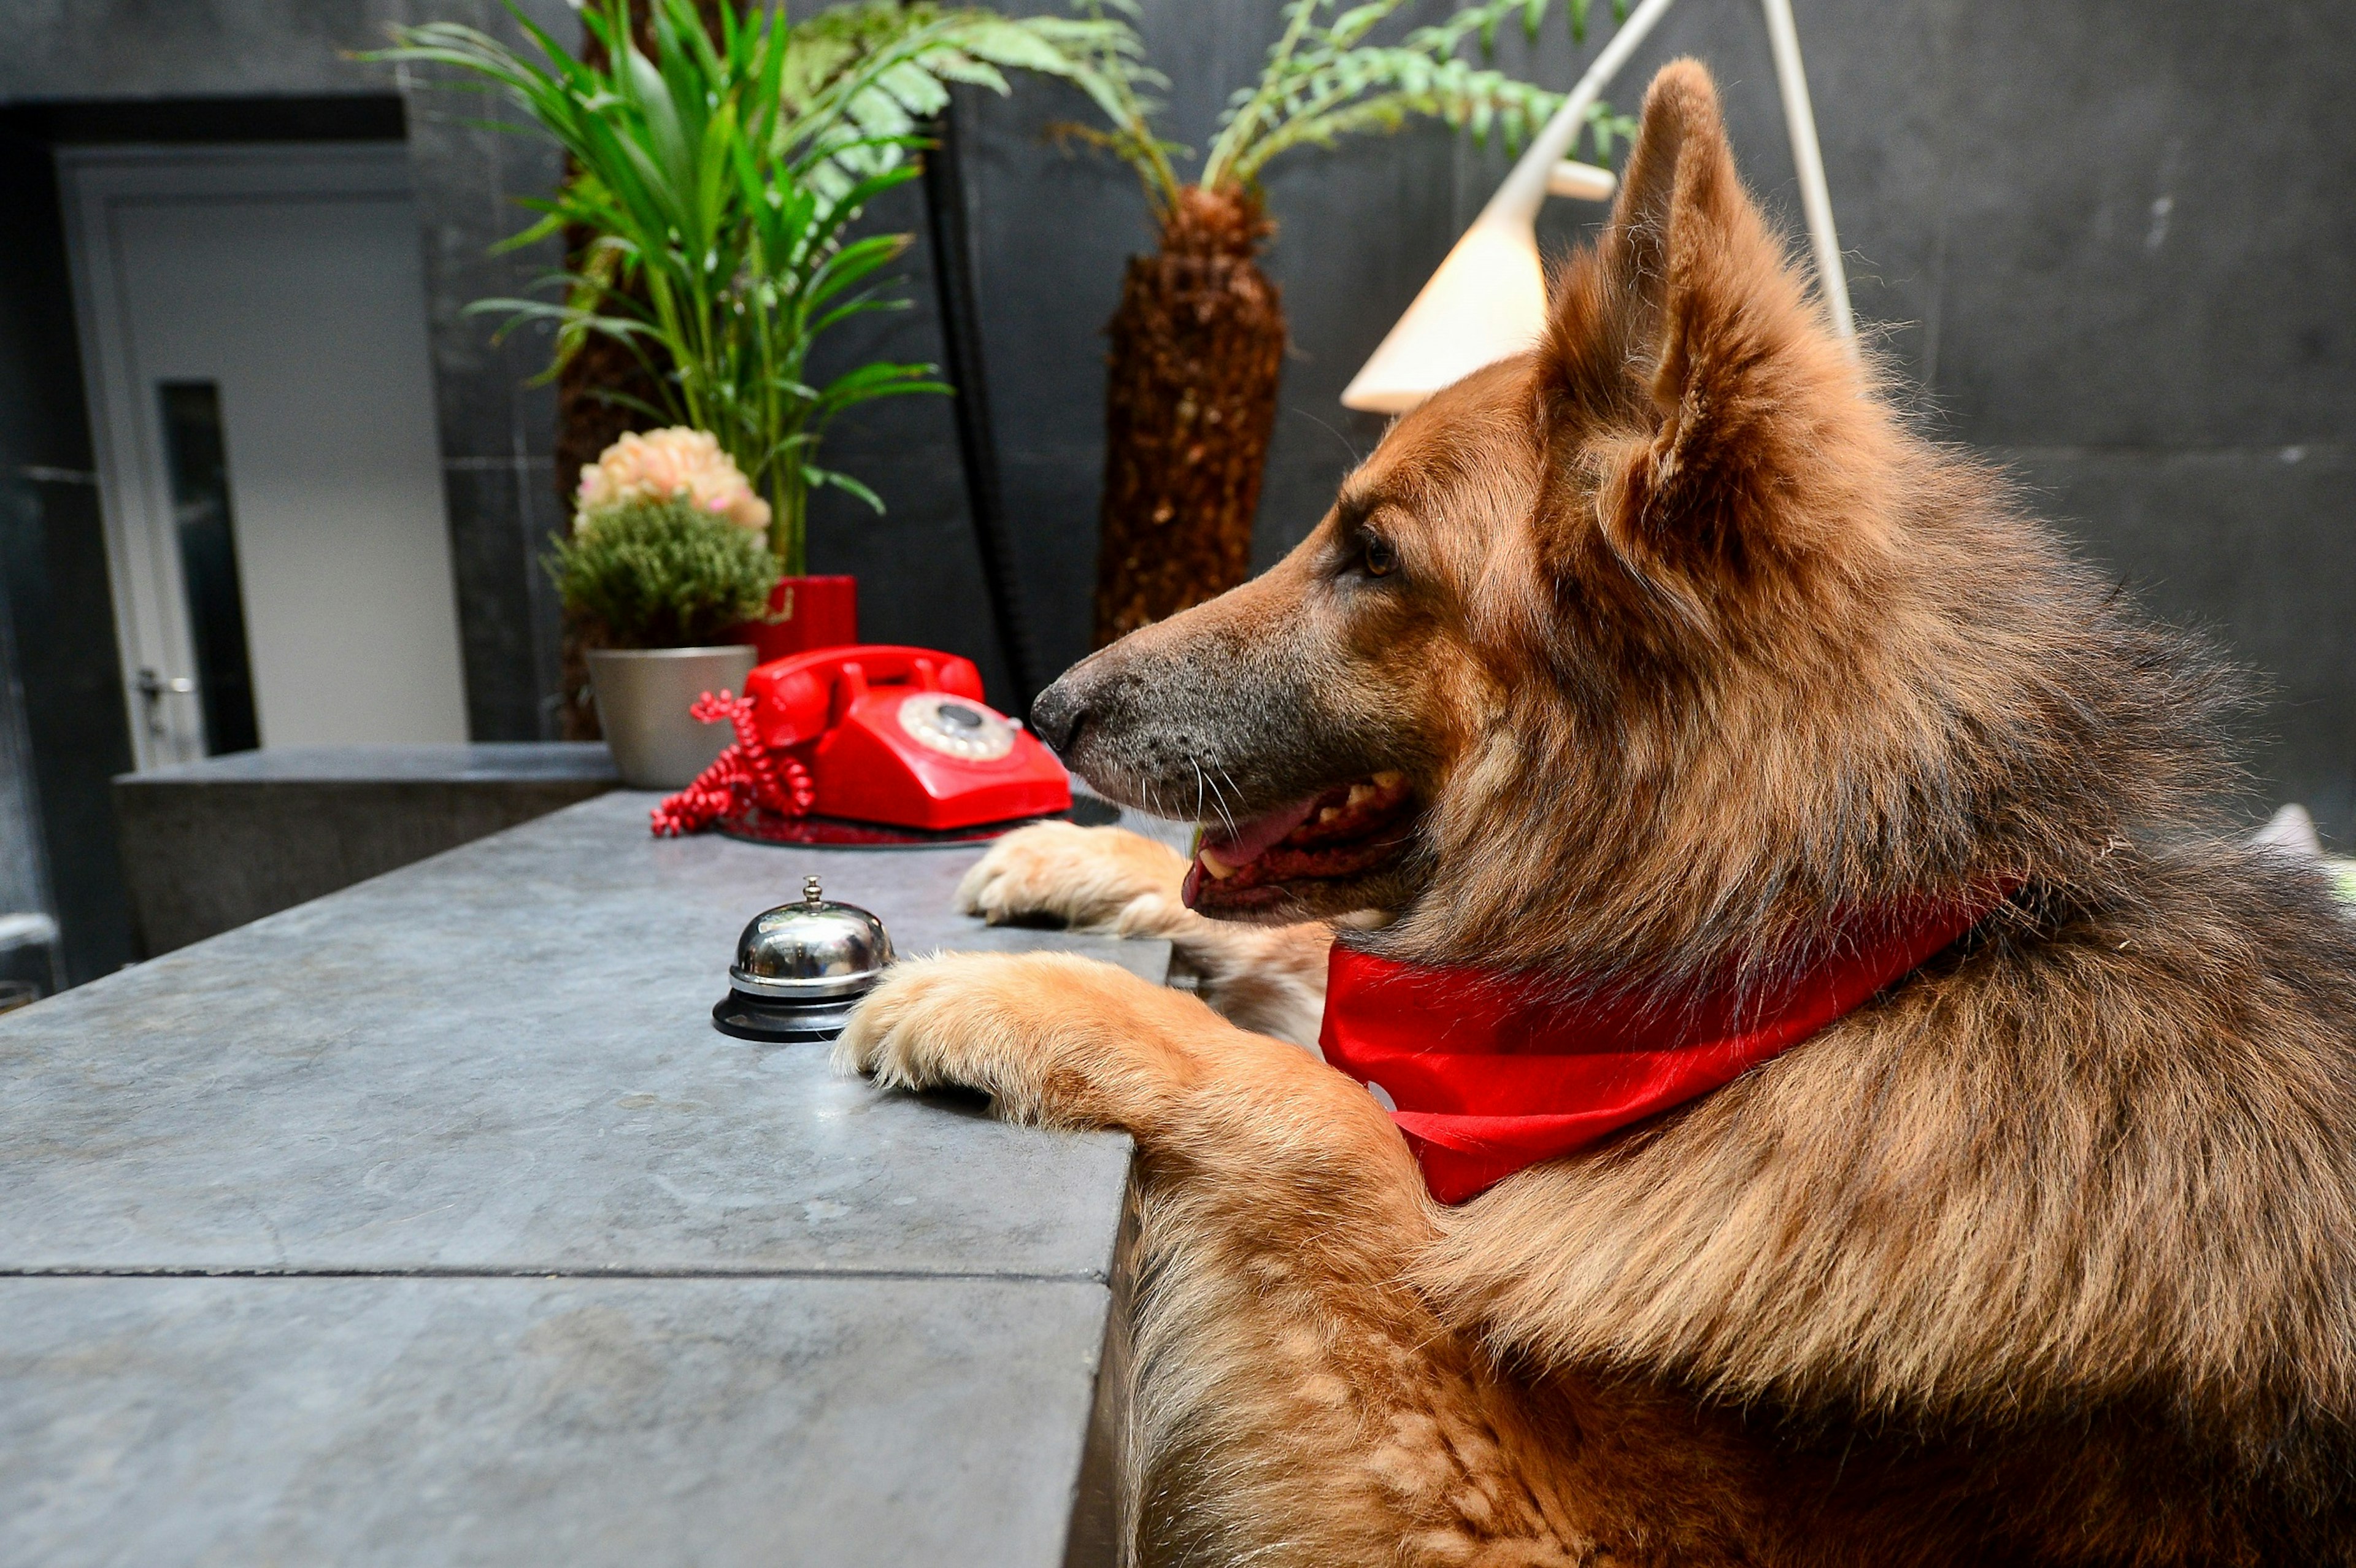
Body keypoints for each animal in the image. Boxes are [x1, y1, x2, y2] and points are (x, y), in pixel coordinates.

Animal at [834, 61, 2356, 1563]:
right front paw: (1076, 857)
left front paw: (1014, 995)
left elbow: (1328, 1113)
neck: (1797, 963)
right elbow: (1324, 986)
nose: (1046, 708)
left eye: (1372, 554)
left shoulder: (1549, 1522)